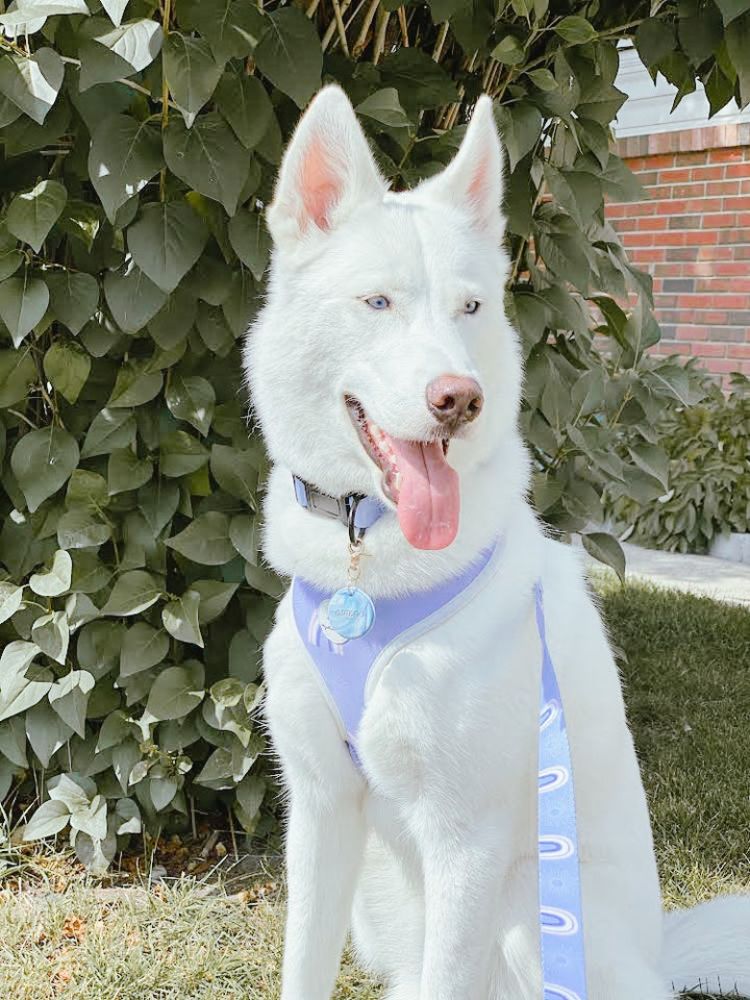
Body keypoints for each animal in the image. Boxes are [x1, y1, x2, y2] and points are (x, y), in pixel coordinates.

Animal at [244, 85, 750, 1000]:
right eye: (378, 303)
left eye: (472, 308)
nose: (460, 399)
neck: (369, 567)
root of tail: (659, 958)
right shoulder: (321, 811)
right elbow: (302, 967)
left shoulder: (466, 837)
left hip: (528, 908)